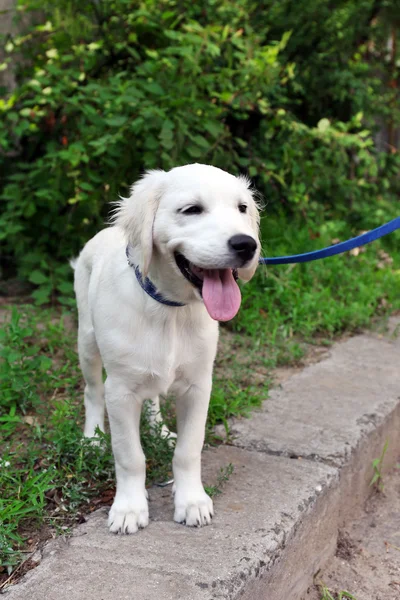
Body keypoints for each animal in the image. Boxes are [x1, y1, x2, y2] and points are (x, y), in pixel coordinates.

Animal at [72, 164, 260, 536]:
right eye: (191, 210)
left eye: (242, 208)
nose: (247, 244)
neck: (170, 310)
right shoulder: (120, 390)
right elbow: (129, 455)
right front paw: (129, 508)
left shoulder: (198, 386)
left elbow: (189, 449)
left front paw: (192, 501)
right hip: (87, 341)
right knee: (92, 391)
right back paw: (93, 437)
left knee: (153, 397)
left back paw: (158, 429)